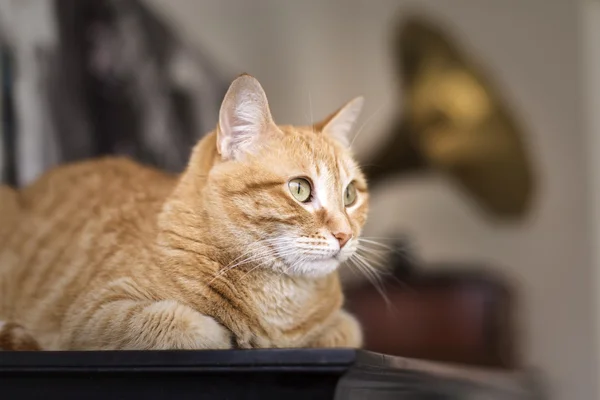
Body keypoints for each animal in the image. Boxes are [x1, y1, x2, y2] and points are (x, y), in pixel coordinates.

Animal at [0, 75, 368, 350]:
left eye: (350, 194)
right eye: (300, 189)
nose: (344, 235)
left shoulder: (343, 326)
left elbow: (345, 331)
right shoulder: (96, 314)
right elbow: (184, 326)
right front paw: (228, 335)